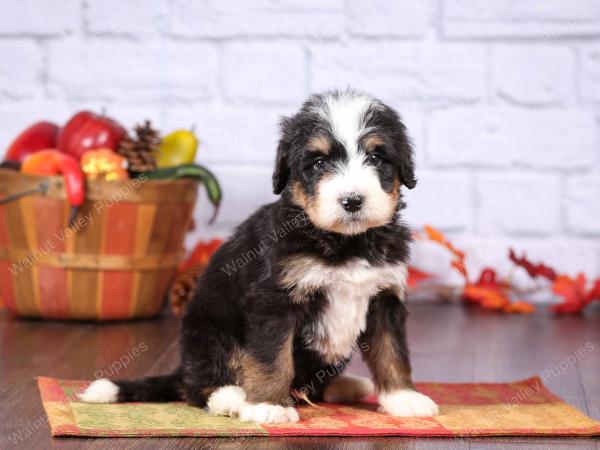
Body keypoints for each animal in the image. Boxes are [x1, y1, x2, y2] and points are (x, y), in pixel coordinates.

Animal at [79, 89, 438, 424]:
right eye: (319, 163)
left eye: (376, 157)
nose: (352, 200)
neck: (348, 243)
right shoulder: (274, 299)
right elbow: (271, 356)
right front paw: (268, 405)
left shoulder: (385, 296)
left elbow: (391, 351)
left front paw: (403, 398)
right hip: (208, 330)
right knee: (201, 384)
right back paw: (231, 399)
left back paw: (345, 384)